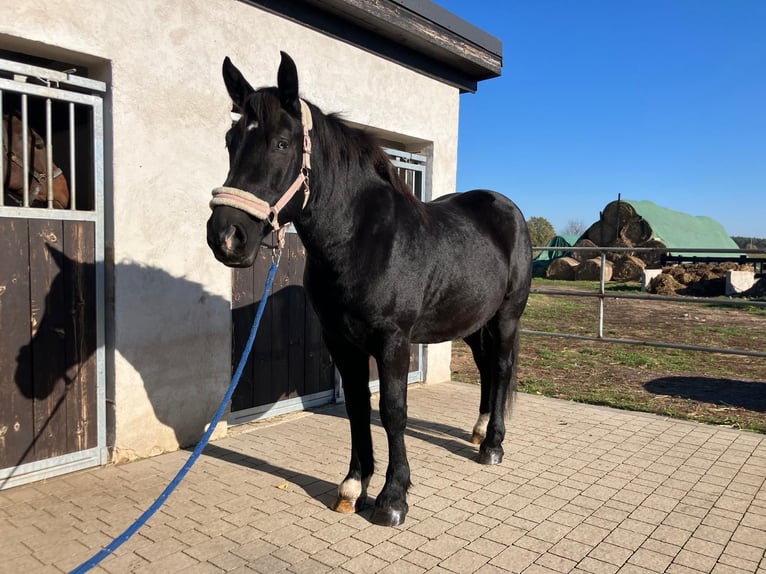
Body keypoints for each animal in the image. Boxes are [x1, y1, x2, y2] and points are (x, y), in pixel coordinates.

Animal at [208, 51, 536, 528]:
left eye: (282, 143)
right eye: (231, 140)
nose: (226, 237)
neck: (363, 239)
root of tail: (506, 208)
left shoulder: (392, 341)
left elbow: (393, 411)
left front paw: (393, 498)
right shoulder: (341, 342)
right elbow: (358, 407)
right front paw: (352, 486)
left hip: (507, 316)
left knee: (503, 367)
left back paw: (492, 445)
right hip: (475, 321)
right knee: (487, 369)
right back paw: (477, 433)